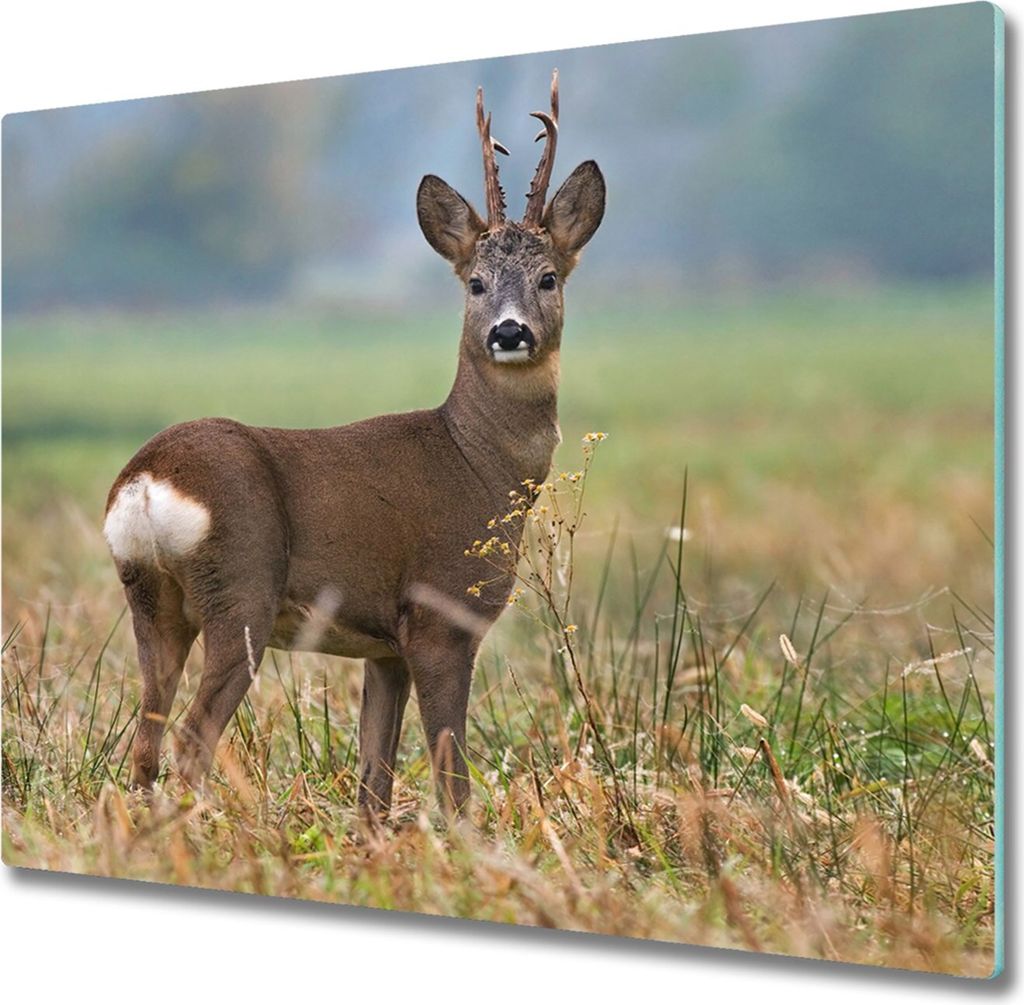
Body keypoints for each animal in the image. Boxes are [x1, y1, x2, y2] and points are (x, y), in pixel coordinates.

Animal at [102, 70, 605, 818]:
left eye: (548, 278)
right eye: (476, 282)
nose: (510, 332)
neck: (476, 461)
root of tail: (145, 479)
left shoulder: (383, 647)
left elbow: (374, 780)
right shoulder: (437, 614)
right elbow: (451, 775)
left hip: (152, 600)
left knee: (145, 741)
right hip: (241, 589)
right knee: (192, 739)